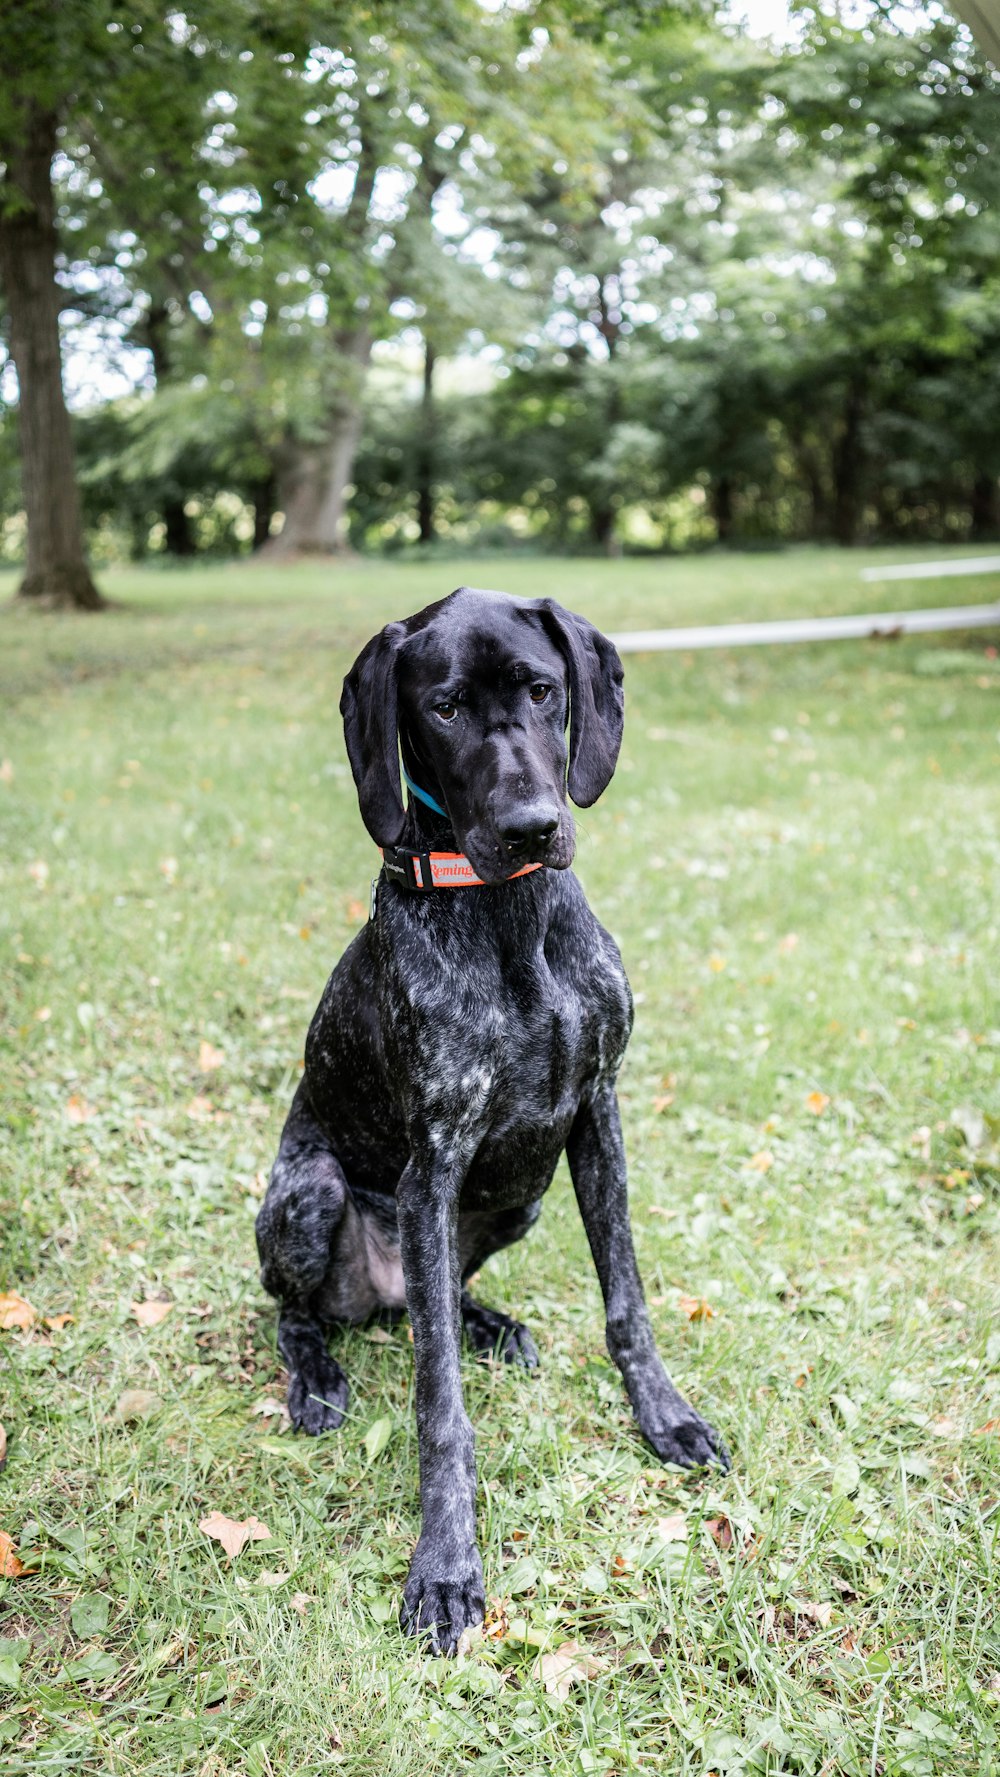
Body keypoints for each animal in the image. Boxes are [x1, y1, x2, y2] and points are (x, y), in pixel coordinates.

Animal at [255, 589, 728, 1656]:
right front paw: (445, 1566)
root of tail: (381, 1294)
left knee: (440, 1297)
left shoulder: (596, 1113)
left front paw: (664, 1415)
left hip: (523, 1196)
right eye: (442, 708)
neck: (509, 918)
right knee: (301, 1314)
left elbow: (628, 1302)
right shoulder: (432, 1164)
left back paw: (485, 1321)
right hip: (311, 1193)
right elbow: (441, 1409)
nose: (530, 826)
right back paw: (319, 1379)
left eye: (543, 689)